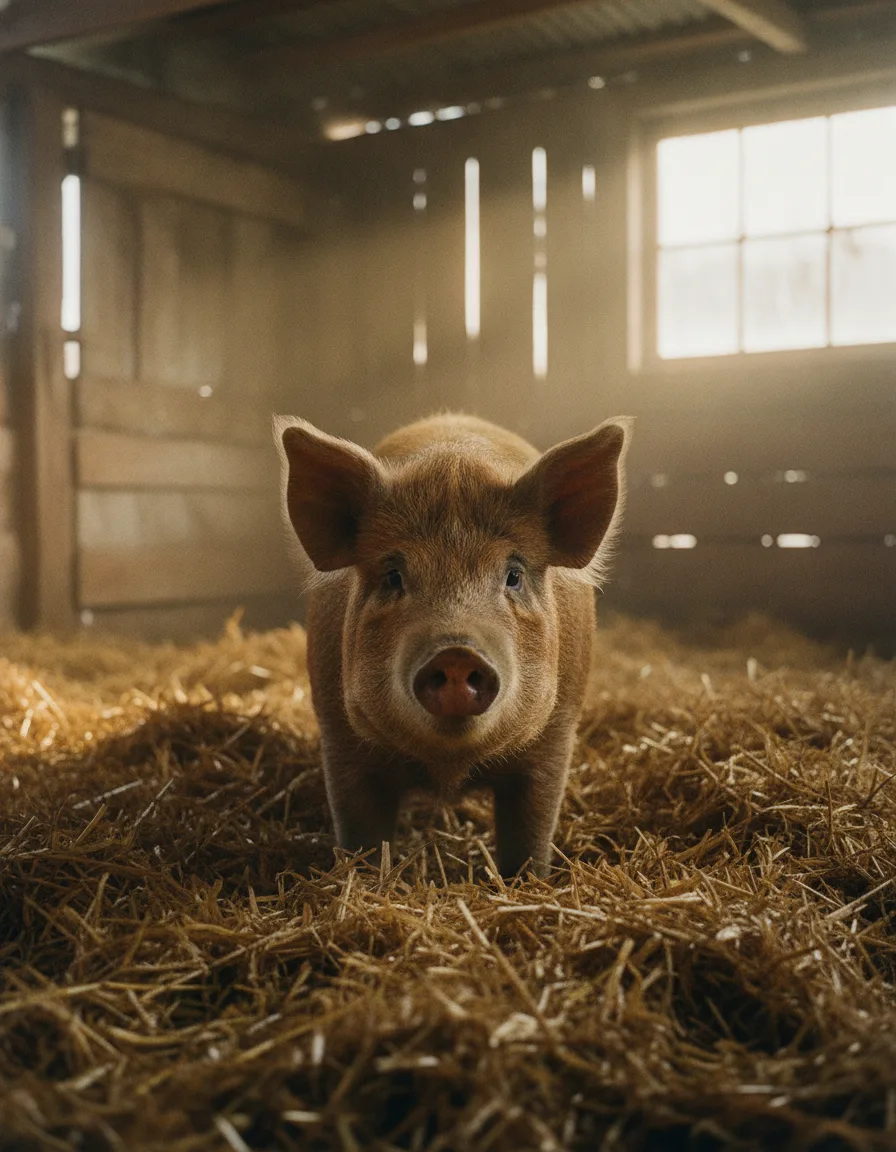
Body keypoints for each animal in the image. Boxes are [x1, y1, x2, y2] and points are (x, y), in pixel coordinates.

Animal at [275, 412, 631, 879]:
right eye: (393, 575)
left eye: (513, 575)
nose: (457, 653)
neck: (448, 769)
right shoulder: (339, 735)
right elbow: (359, 831)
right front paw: (363, 879)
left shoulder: (556, 736)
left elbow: (532, 831)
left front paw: (528, 881)